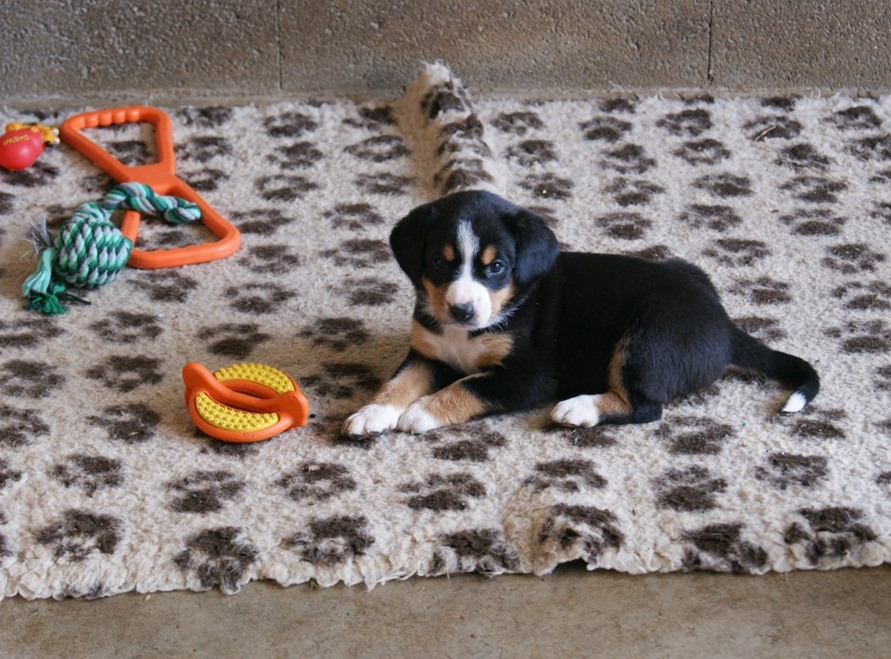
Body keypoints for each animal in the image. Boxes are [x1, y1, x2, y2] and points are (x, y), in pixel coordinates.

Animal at [342, 190, 819, 438]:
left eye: (496, 267)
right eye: (441, 263)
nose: (462, 310)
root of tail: (723, 322)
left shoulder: (529, 376)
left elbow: (468, 386)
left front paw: (422, 411)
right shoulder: (427, 352)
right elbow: (398, 382)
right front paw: (372, 412)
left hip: (648, 337)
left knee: (646, 406)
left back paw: (580, 408)